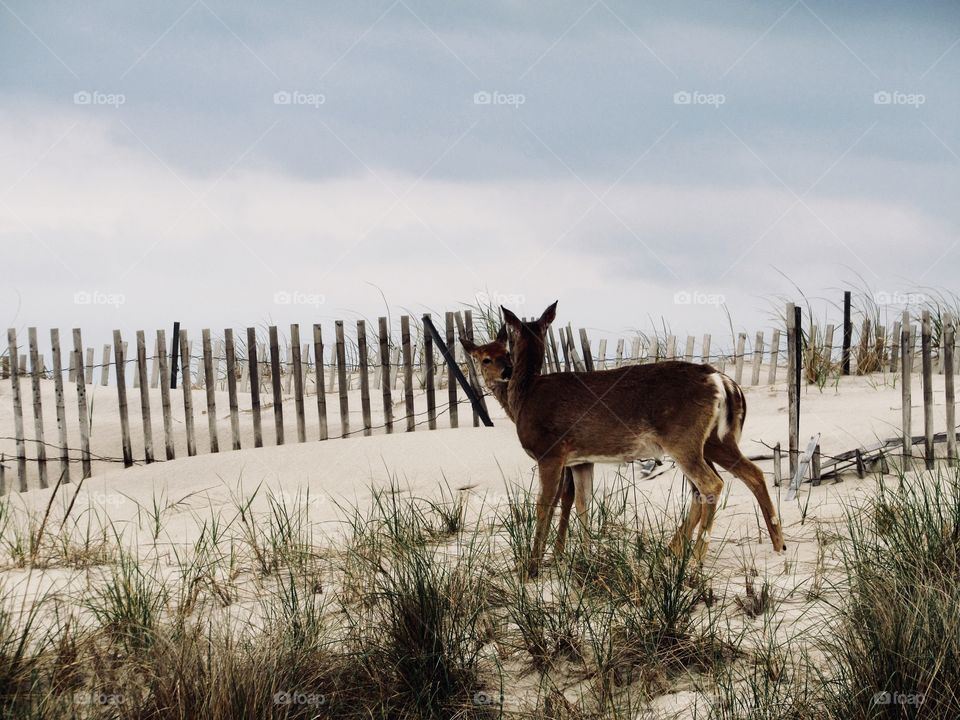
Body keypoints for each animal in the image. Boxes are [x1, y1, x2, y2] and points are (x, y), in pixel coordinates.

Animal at [458, 326, 592, 556]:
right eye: (485, 359)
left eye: (507, 352)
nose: (507, 371)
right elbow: (564, 495)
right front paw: (553, 550)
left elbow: (563, 496)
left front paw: (554, 552)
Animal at [498, 300, 784, 576]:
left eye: (507, 340)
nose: (504, 369)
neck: (525, 394)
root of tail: (720, 379)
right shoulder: (580, 460)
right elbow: (583, 503)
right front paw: (585, 558)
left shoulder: (550, 452)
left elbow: (544, 505)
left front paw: (532, 567)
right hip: (716, 440)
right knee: (751, 473)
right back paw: (777, 544)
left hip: (683, 439)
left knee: (711, 484)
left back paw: (695, 561)